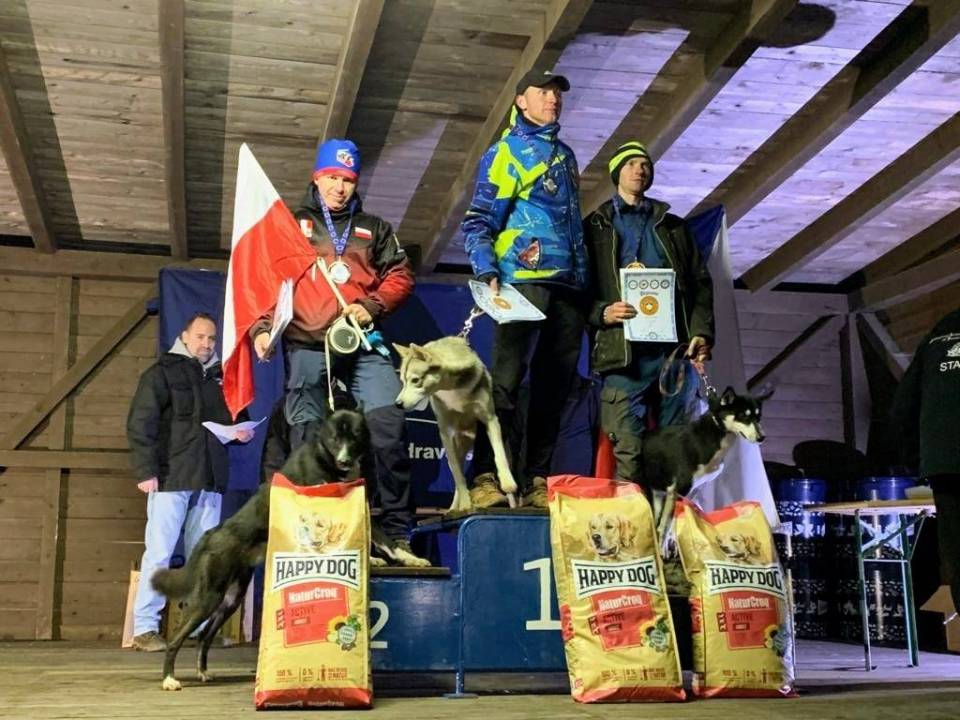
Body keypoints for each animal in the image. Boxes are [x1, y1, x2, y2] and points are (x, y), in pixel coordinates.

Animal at [149, 408, 421, 692]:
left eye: (355, 436)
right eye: (335, 439)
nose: (345, 461)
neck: (326, 459)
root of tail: (211, 534)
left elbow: (382, 539)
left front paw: (409, 560)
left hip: (229, 600)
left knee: (203, 635)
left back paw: (202, 672)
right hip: (208, 598)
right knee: (177, 639)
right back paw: (169, 679)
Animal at [394, 337, 517, 513]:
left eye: (415, 380)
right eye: (403, 382)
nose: (398, 404)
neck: (450, 387)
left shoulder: (490, 419)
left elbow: (499, 456)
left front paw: (507, 482)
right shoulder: (445, 432)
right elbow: (459, 477)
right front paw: (465, 503)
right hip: (455, 448)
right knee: (458, 474)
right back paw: (454, 507)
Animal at [641, 386, 772, 539]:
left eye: (758, 417)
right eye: (744, 416)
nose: (762, 437)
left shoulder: (688, 491)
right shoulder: (677, 489)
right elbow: (664, 527)